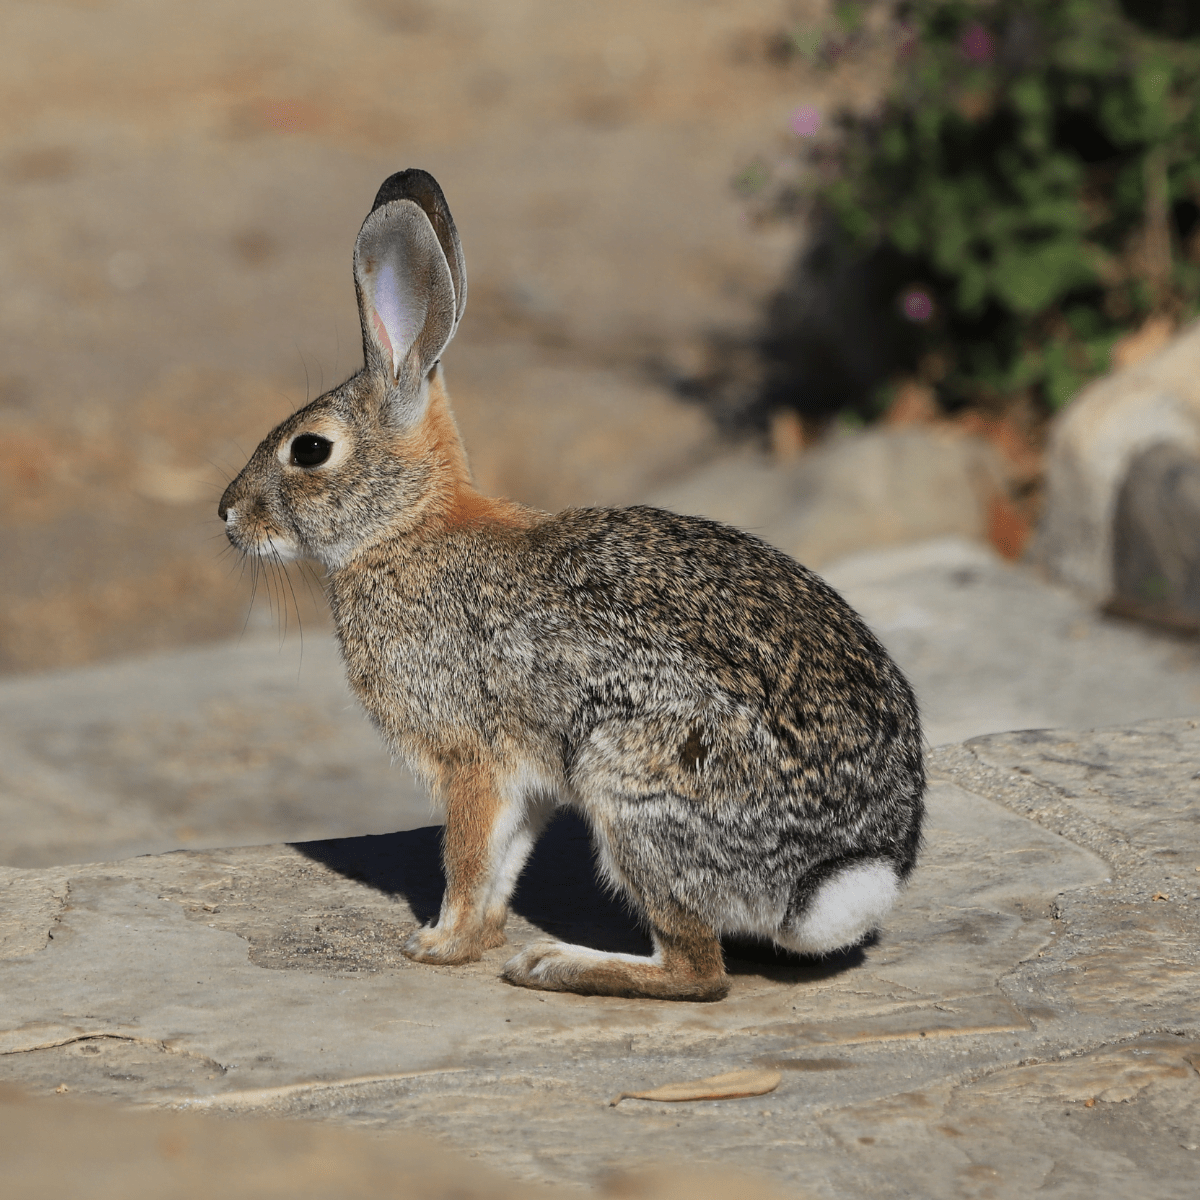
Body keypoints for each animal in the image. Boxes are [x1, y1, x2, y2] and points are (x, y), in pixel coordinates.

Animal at [218, 168, 925, 1002]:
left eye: (310, 450)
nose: (228, 515)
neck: (405, 527)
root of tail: (844, 873)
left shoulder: (470, 759)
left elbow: (466, 858)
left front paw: (438, 945)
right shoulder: (527, 778)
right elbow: (506, 861)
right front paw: (475, 938)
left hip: (630, 782)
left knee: (699, 972)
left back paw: (555, 964)